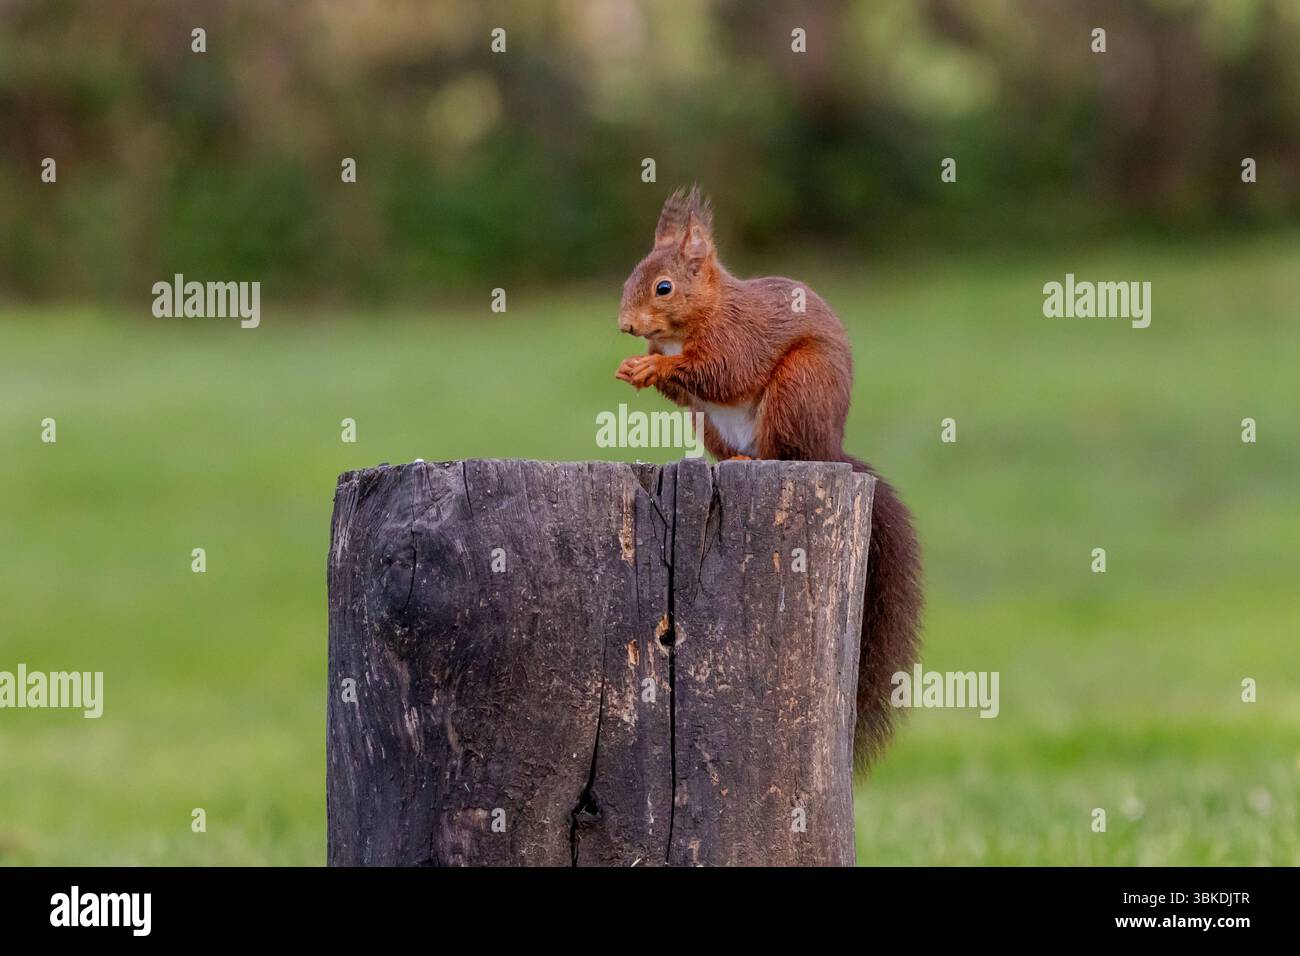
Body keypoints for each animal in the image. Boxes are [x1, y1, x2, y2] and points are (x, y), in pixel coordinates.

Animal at [615, 186, 923, 768]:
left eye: (664, 286)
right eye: (630, 276)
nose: (625, 325)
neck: (699, 317)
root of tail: (831, 448)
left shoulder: (739, 338)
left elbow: (722, 370)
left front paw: (654, 367)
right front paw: (637, 367)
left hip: (797, 389)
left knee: (786, 453)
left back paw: (753, 463)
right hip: (709, 424)